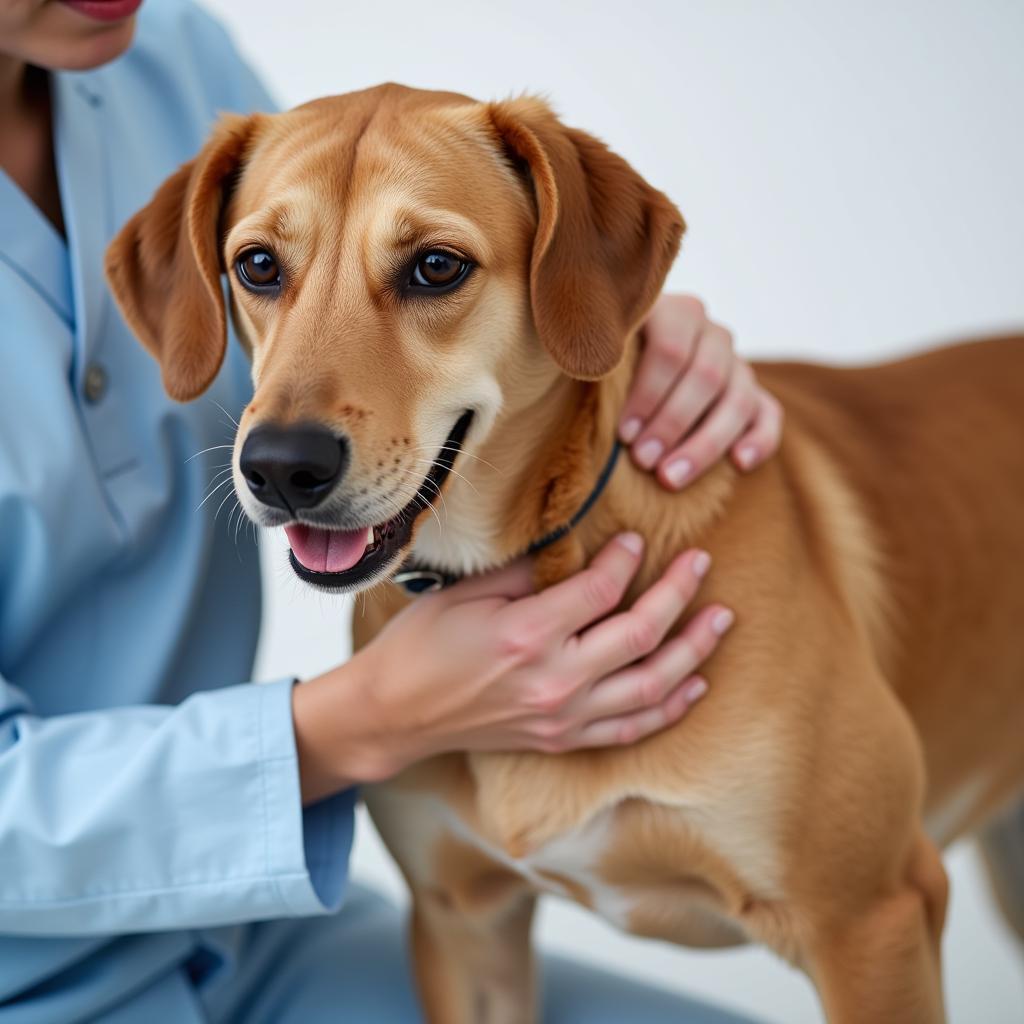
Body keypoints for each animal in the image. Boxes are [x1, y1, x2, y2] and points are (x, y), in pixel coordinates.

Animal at [105, 81, 1024, 1024]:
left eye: (436, 267)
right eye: (258, 266)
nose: (283, 467)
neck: (546, 548)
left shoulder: (872, 918)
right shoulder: (463, 922)